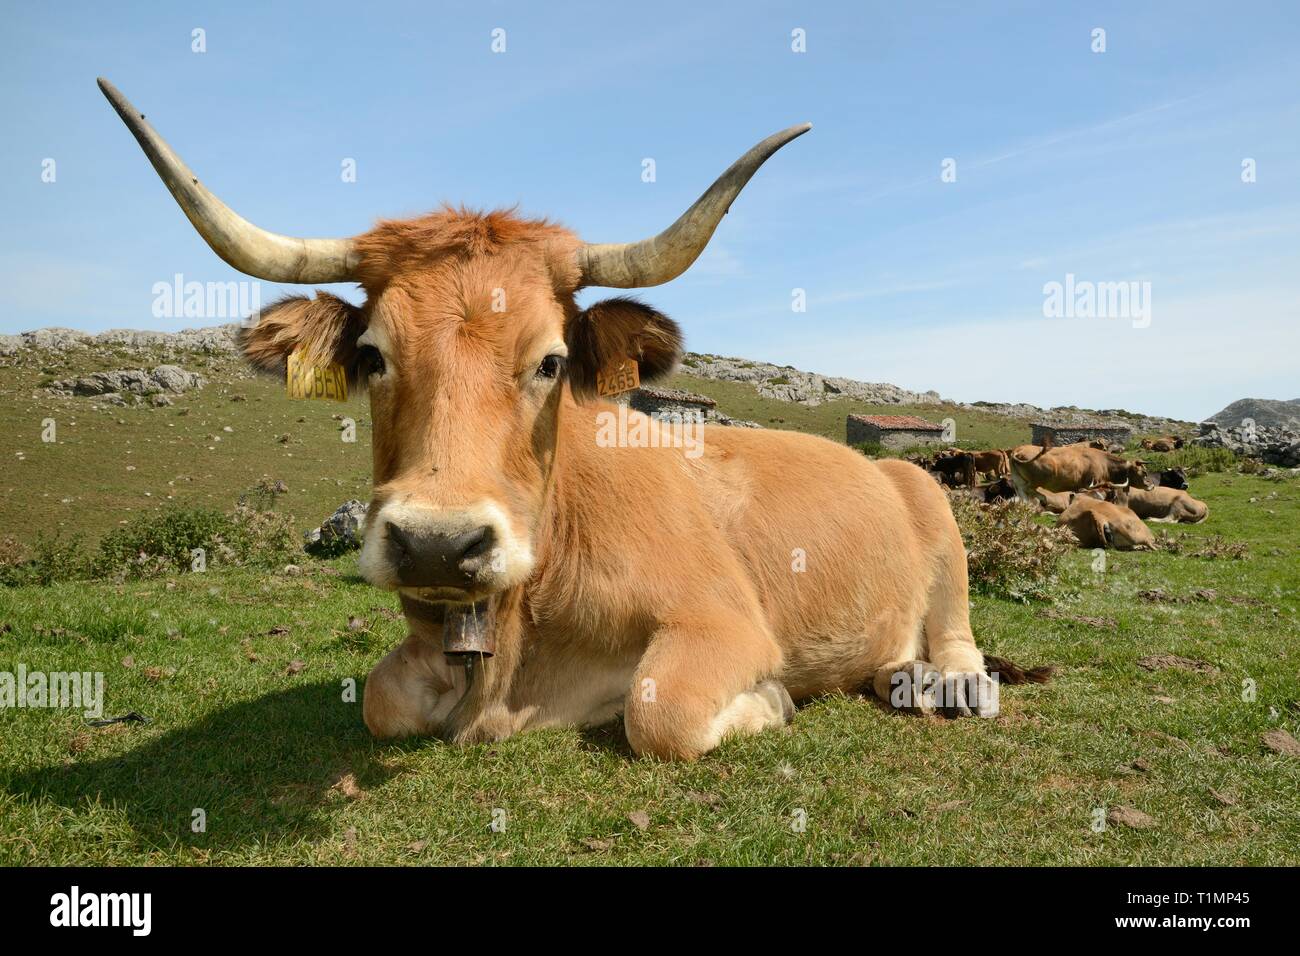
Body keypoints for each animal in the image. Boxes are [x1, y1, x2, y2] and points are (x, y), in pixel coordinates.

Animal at [100, 79, 1049, 758]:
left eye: (551, 361)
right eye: (373, 356)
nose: (438, 543)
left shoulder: (720, 621)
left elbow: (660, 714)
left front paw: (769, 699)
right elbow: (380, 701)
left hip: (938, 524)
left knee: (955, 635)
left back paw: (943, 684)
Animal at [1009, 444, 1147, 499]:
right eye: (1143, 472)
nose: (1149, 485)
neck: (1103, 461)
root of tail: (1018, 450)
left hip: (1018, 481)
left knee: (1022, 494)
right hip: (1036, 481)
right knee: (1028, 490)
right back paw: (1042, 499)